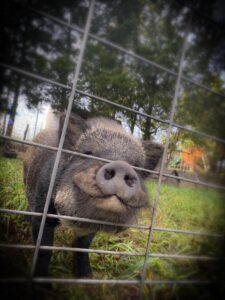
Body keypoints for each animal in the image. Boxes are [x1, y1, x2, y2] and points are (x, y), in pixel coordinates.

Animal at [23, 112, 163, 276]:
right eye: (88, 152)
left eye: (137, 166)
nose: (122, 166)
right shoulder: (42, 206)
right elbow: (44, 249)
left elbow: (83, 246)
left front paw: (87, 277)